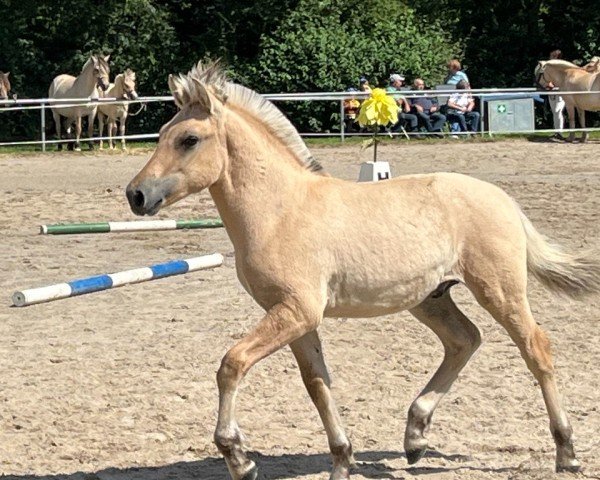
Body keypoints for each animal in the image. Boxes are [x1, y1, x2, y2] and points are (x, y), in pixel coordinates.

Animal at [126, 61, 600, 480]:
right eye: (162, 135)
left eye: (189, 139)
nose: (136, 194)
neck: (281, 210)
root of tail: (504, 199)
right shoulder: (296, 317)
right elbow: (317, 383)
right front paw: (341, 459)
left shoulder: (297, 310)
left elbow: (232, 364)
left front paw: (239, 458)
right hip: (430, 298)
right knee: (464, 340)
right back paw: (415, 437)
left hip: (499, 290)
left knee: (536, 349)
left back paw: (567, 453)